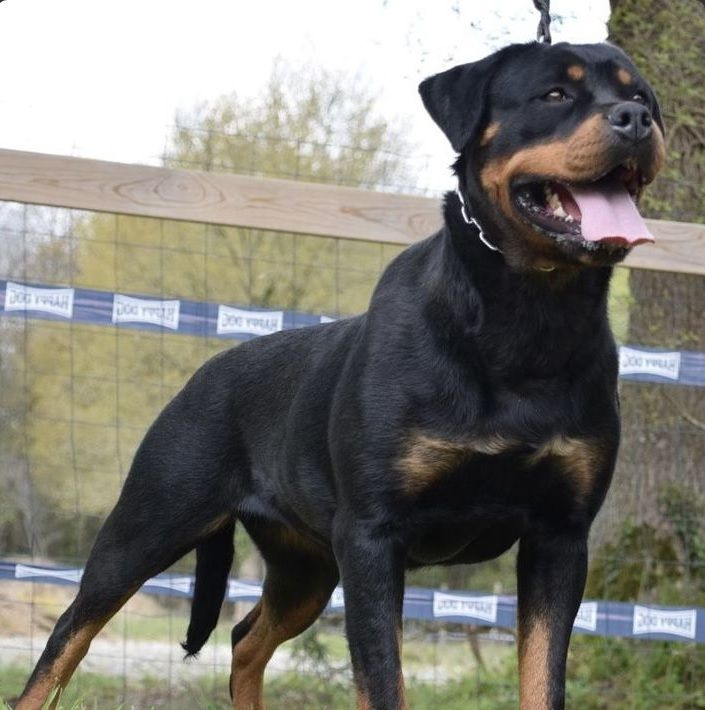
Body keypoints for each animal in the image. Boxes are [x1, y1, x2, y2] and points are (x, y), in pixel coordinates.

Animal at [17, 40, 664, 710]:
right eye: (554, 95)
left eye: (641, 96)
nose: (636, 120)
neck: (529, 320)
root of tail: (205, 372)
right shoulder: (373, 536)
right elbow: (382, 680)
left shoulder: (559, 537)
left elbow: (542, 680)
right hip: (148, 524)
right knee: (70, 634)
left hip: (307, 566)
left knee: (247, 639)